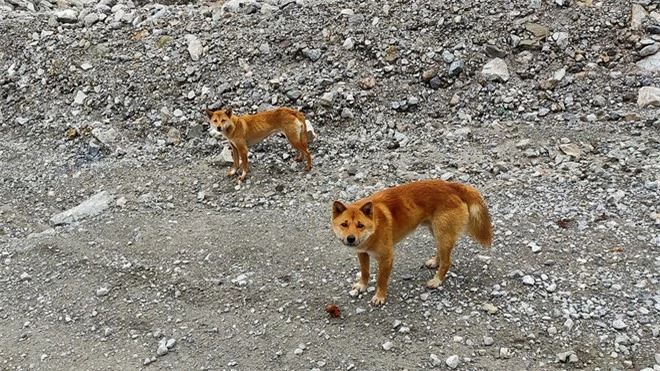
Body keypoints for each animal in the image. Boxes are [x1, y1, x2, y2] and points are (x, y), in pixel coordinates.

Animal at [332, 179, 492, 306]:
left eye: (360, 225)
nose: (351, 238)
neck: (375, 226)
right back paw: (434, 262)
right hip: (436, 232)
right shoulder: (362, 253)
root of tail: (450, 185)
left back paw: (436, 281)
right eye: (344, 224)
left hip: (443, 234)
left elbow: (381, 279)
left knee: (447, 261)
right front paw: (362, 285)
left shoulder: (386, 257)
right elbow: (365, 272)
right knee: (441, 254)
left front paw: (380, 296)